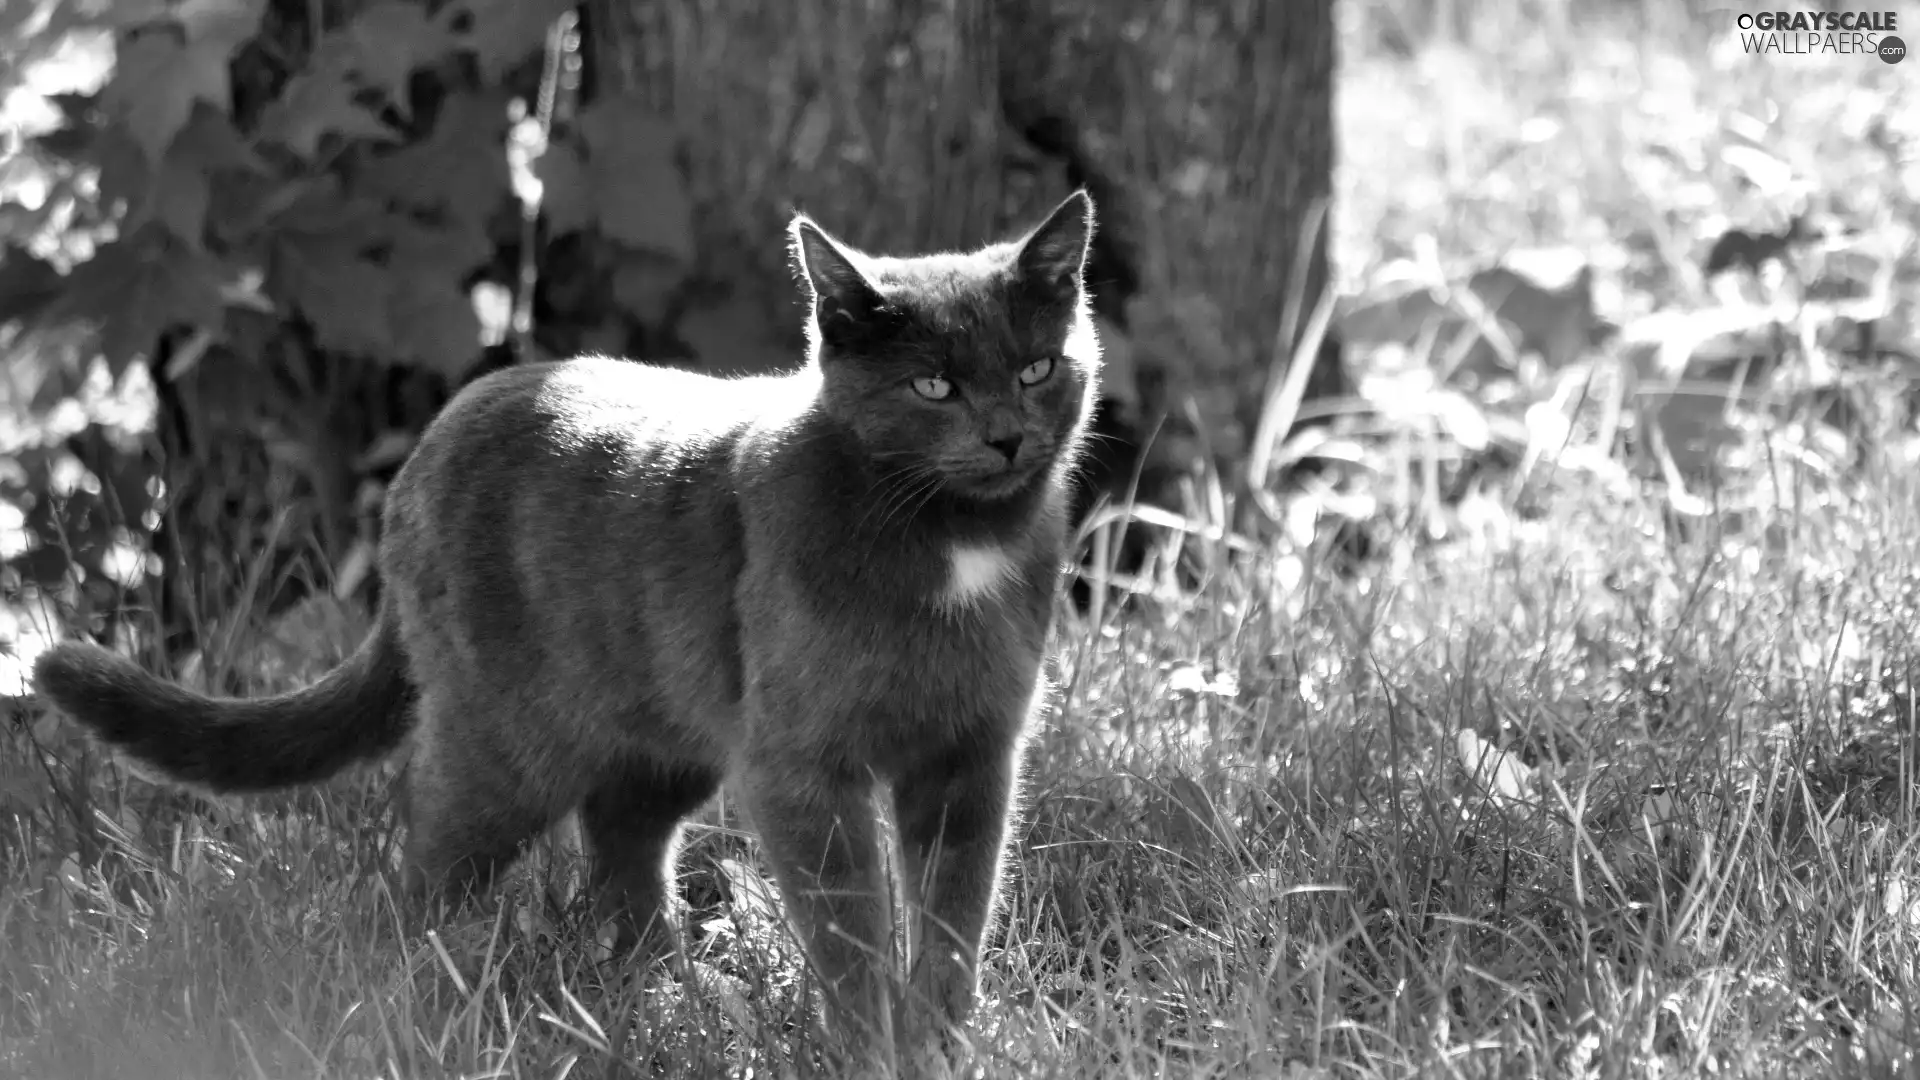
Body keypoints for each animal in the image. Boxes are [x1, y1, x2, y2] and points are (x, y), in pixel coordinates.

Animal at [33, 189, 1098, 1053]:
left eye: (1039, 368)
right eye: (934, 386)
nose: (1007, 436)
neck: (954, 545)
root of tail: (428, 447)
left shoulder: (973, 755)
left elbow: (954, 918)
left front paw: (941, 1045)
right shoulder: (803, 764)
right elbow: (850, 926)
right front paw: (874, 1047)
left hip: (667, 724)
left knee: (620, 838)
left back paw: (664, 990)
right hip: (505, 741)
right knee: (421, 856)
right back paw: (400, 994)